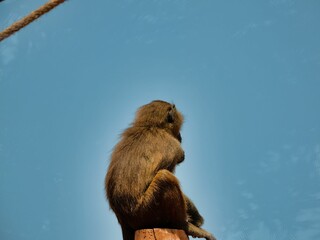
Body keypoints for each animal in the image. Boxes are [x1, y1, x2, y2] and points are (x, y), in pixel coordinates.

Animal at [105, 100, 215, 240]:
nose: (180, 136)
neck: (150, 126)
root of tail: (123, 220)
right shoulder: (175, 147)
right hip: (146, 212)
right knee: (165, 177)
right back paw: (185, 226)